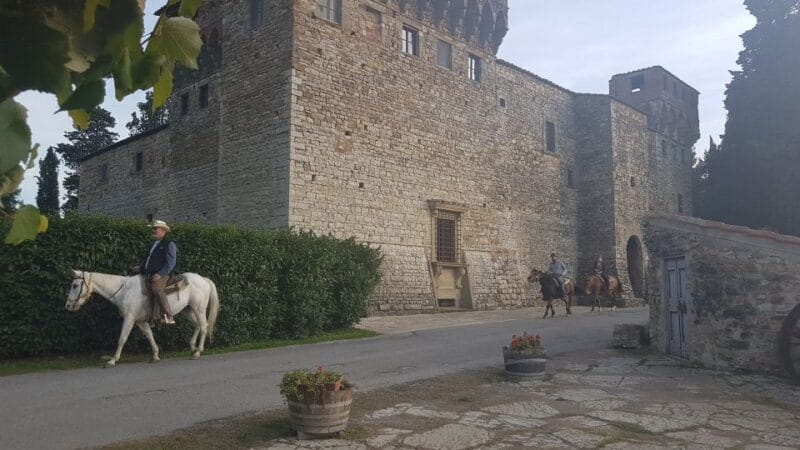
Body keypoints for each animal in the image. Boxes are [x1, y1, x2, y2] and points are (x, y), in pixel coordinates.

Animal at [65, 270, 220, 368]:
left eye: (75, 285)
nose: (68, 306)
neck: (124, 291)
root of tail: (204, 279)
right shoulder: (140, 322)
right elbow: (149, 335)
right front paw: (155, 356)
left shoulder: (129, 318)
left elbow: (122, 338)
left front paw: (112, 360)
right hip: (187, 311)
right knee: (198, 325)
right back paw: (193, 347)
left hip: (199, 309)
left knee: (204, 326)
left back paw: (198, 352)